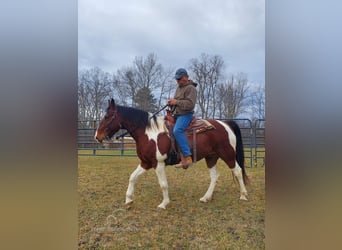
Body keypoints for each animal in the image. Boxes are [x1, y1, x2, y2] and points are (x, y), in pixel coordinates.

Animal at [95, 97, 250, 209]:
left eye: (107, 116)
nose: (97, 136)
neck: (148, 133)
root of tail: (226, 124)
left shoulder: (158, 163)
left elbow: (163, 184)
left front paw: (164, 204)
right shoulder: (145, 163)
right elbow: (132, 177)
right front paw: (128, 200)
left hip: (228, 154)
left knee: (237, 170)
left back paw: (243, 195)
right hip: (211, 157)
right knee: (214, 176)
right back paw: (206, 197)